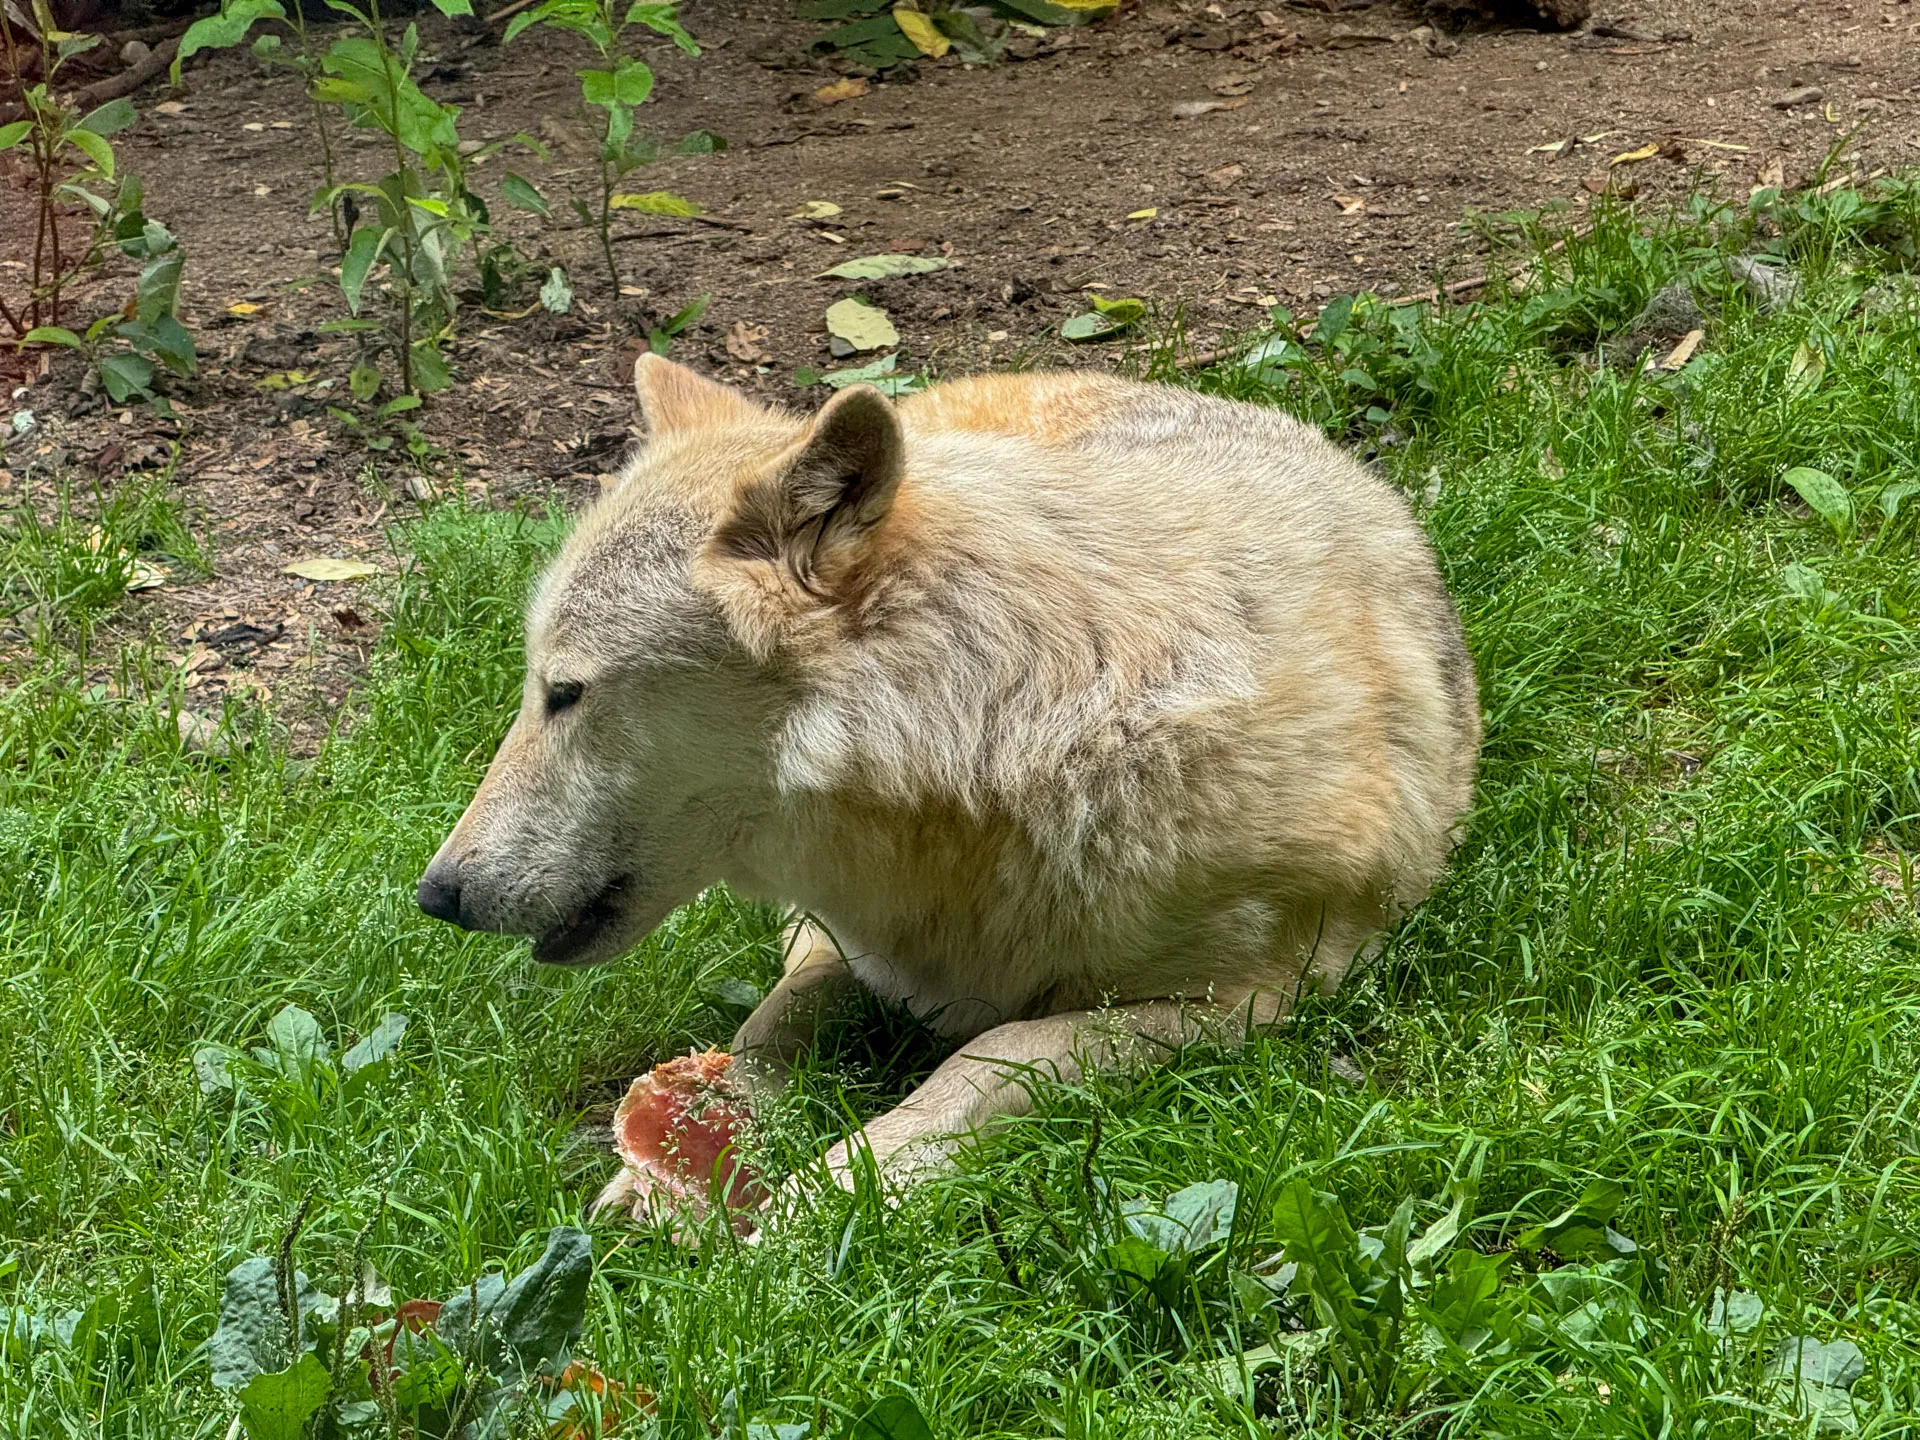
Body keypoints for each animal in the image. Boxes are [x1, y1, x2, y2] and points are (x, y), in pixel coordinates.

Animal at [418, 356, 1480, 1187]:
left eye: (564, 693)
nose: (435, 895)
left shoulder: (1266, 996)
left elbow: (991, 1053)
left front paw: (831, 1193)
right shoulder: (830, 936)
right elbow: (768, 1024)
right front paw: (679, 1156)